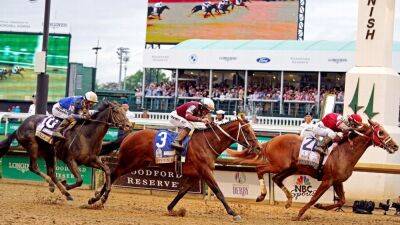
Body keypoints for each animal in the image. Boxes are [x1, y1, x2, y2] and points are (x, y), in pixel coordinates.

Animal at [0, 102, 132, 200]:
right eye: (116, 111)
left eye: (125, 111)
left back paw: (65, 193)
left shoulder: (90, 160)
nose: (129, 126)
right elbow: (79, 180)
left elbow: (107, 170)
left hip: (49, 153)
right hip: (33, 146)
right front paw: (67, 185)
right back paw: (54, 186)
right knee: (33, 167)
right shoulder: (70, 160)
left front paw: (101, 195)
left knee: (51, 172)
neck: (87, 135)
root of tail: (19, 127)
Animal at [89, 118, 260, 221]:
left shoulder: (196, 175)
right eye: (246, 131)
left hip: (136, 163)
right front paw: (234, 213)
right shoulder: (205, 171)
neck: (207, 143)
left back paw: (95, 198)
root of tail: (130, 135)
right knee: (112, 173)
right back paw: (99, 199)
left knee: (112, 174)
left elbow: (182, 192)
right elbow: (218, 192)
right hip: (128, 162)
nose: (258, 147)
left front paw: (172, 209)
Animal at [230, 120, 398, 221]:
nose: (395, 146)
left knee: (276, 178)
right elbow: (314, 198)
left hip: (291, 168)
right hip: (279, 165)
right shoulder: (327, 180)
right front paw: (300, 214)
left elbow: (341, 200)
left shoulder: (337, 181)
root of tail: (271, 140)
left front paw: (321, 207)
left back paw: (289, 201)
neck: (345, 152)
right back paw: (261, 195)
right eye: (381, 132)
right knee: (260, 169)